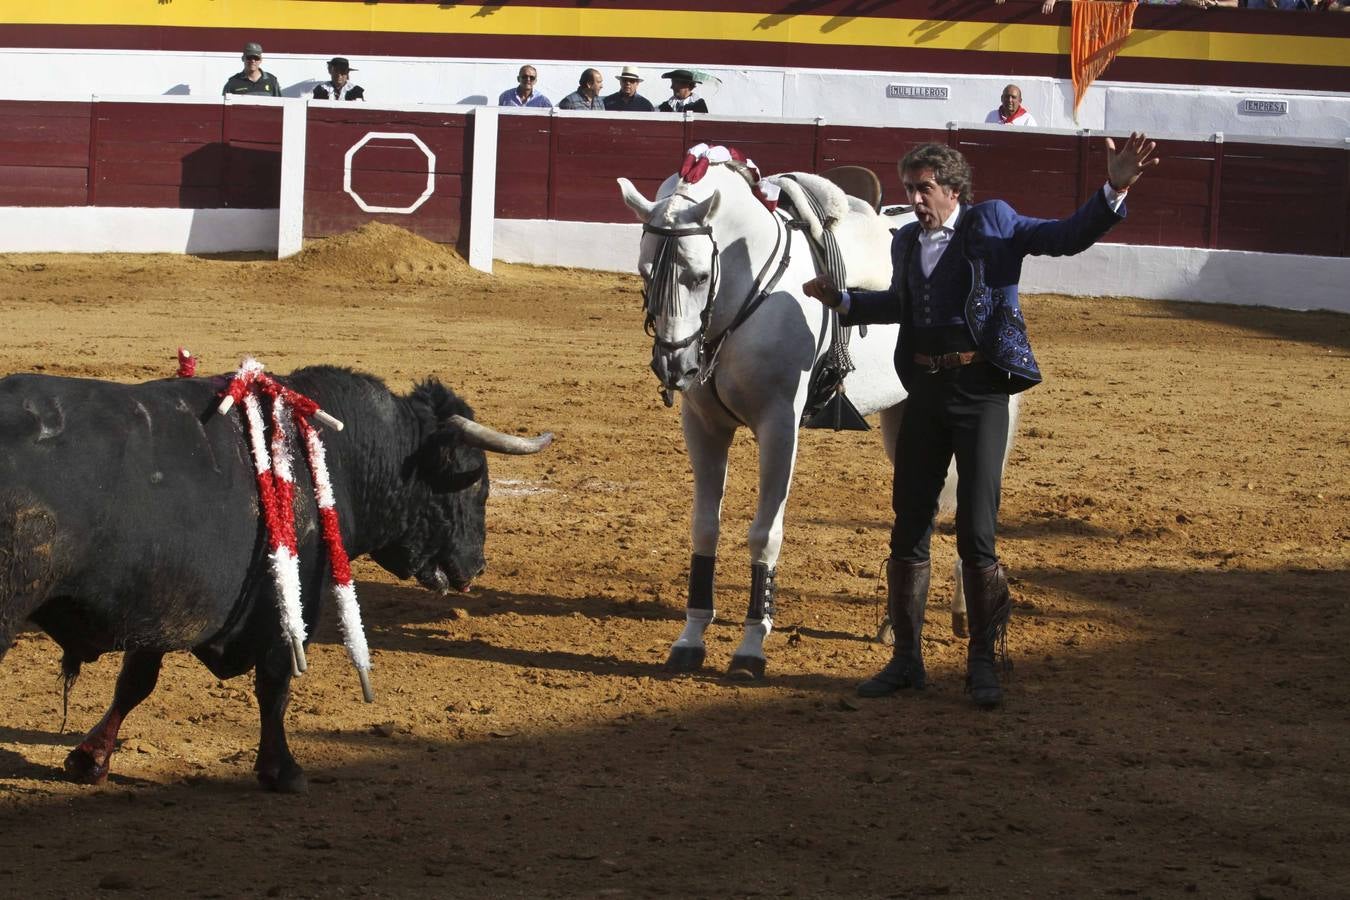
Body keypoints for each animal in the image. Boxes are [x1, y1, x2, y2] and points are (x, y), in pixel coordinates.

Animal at [1, 364, 548, 788]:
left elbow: (135, 682)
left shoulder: (163, 602)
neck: (340, 456)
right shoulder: (289, 604)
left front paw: (90, 758)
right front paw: (281, 769)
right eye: (474, 480)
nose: (476, 566)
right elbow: (276, 684)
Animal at [618, 155, 999, 680]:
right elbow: (704, 527)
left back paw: (962, 613)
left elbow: (764, 534)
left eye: (697, 276)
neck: (747, 287)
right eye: (644, 272)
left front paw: (751, 646)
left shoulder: (779, 426)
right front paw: (690, 638)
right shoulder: (703, 427)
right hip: (903, 419)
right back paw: (894, 621)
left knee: (968, 503)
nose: (675, 366)